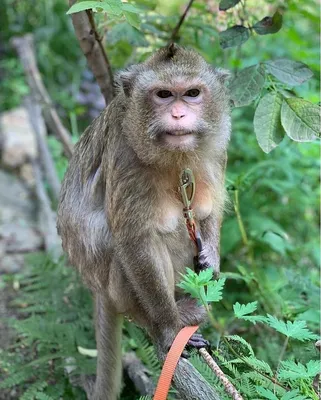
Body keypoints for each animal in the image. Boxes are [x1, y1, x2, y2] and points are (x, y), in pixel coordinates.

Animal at [57, 44, 230, 400]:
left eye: (192, 93)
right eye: (163, 95)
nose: (178, 115)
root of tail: (95, 288)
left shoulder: (217, 147)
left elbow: (208, 211)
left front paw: (211, 259)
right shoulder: (126, 156)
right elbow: (136, 240)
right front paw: (168, 329)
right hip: (113, 285)